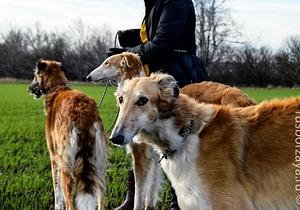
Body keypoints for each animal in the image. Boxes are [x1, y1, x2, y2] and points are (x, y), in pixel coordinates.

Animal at [28, 59, 108, 210]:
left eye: (35, 75)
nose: (29, 89)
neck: (56, 87)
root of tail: (83, 115)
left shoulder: (53, 156)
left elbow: (56, 190)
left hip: (67, 166)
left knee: (70, 202)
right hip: (99, 164)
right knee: (101, 198)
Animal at [85, 51, 256, 209]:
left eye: (106, 62)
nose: (88, 77)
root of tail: (246, 99)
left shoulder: (141, 154)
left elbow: (139, 193)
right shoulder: (155, 156)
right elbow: (151, 191)